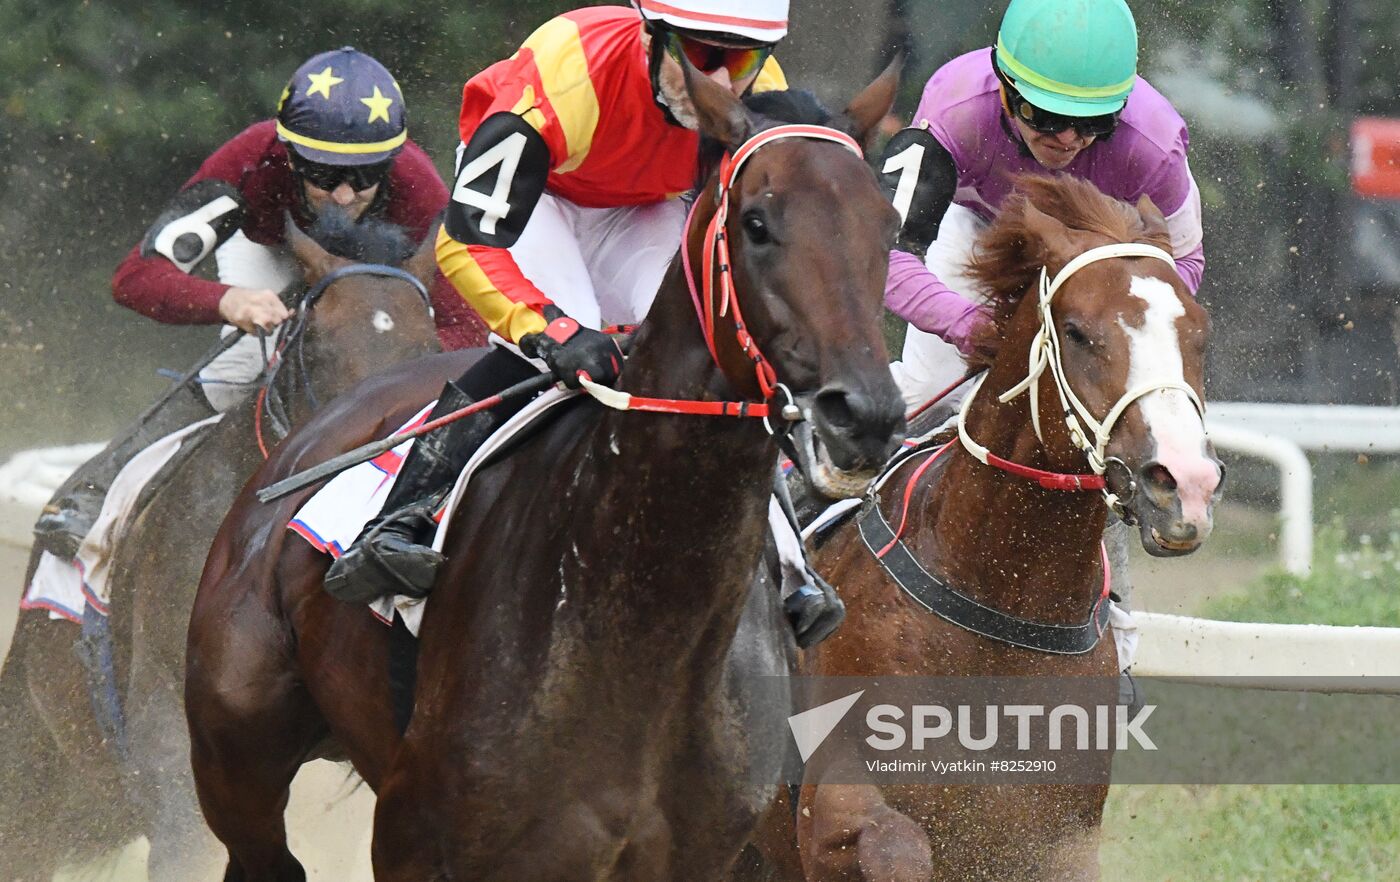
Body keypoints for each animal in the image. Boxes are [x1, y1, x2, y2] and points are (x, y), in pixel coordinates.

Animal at [183, 67, 907, 882]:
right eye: (755, 222)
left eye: (888, 226)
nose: (864, 414)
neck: (642, 638)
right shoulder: (416, 841)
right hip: (234, 755)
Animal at [750, 177, 1220, 882]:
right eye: (1076, 333)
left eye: (1200, 334)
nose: (1184, 482)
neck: (1000, 591)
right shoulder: (829, 807)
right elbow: (894, 843)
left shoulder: (1057, 838)